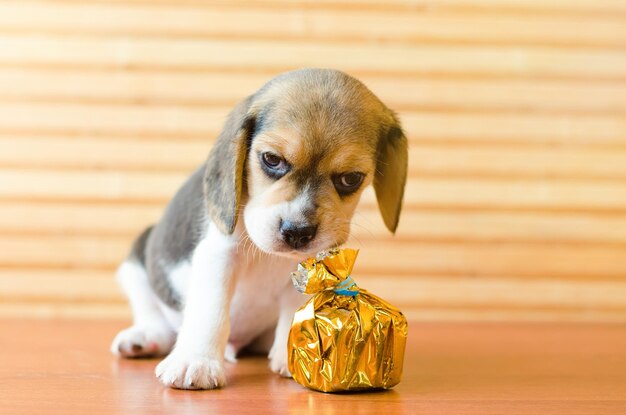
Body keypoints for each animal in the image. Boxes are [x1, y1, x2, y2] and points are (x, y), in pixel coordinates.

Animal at [109, 68, 408, 390]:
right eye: (272, 160)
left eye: (351, 178)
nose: (297, 231)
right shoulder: (218, 254)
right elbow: (210, 310)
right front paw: (197, 361)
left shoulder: (310, 268)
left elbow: (294, 308)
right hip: (137, 262)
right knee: (153, 314)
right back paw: (145, 338)